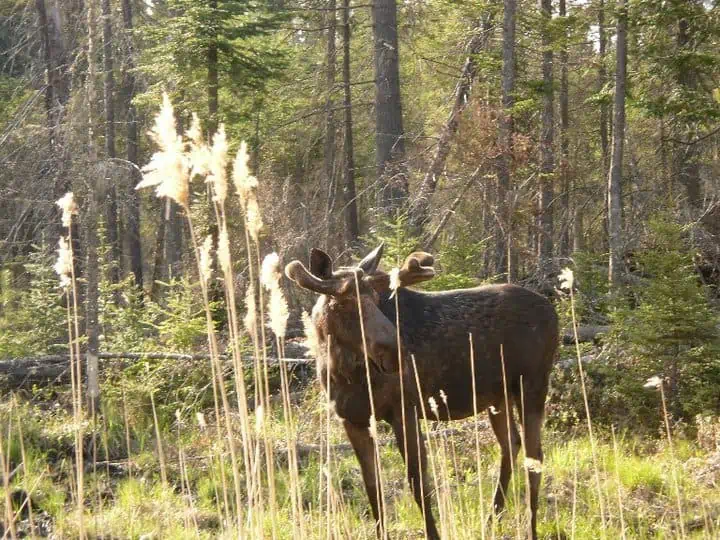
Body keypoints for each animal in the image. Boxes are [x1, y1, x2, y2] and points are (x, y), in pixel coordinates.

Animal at [284, 246, 560, 540]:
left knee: (535, 455)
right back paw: (491, 520)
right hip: (497, 398)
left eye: (375, 298)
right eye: (344, 303)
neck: (343, 372)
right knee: (511, 443)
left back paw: (529, 528)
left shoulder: (404, 409)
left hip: (532, 384)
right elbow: (372, 485)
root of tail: (554, 313)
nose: (395, 351)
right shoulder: (352, 419)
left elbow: (418, 480)